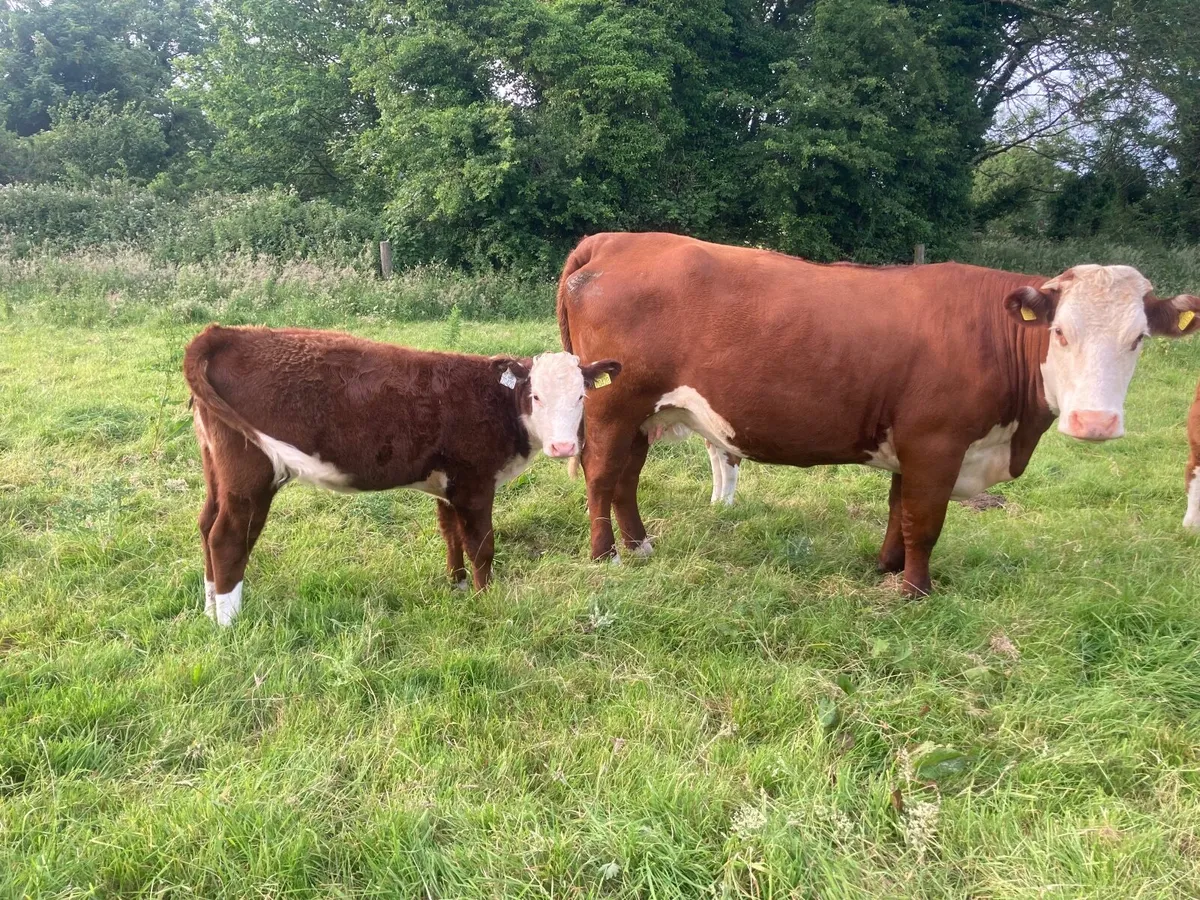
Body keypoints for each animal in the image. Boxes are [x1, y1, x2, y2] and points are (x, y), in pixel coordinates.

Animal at [184, 325, 620, 626]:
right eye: (536, 396)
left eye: (581, 396)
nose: (563, 447)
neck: (494, 402)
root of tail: (225, 333)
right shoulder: (475, 482)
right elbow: (481, 545)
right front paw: (486, 600)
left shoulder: (448, 484)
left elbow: (451, 534)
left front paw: (458, 586)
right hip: (250, 473)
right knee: (227, 536)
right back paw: (228, 622)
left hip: (216, 467)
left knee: (205, 525)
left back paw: (208, 609)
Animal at [556, 232, 1200, 596]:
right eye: (1060, 333)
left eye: (1138, 339)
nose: (1096, 423)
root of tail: (616, 239)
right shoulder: (937, 442)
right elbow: (925, 521)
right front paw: (915, 591)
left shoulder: (913, 445)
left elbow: (898, 512)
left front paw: (887, 568)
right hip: (614, 404)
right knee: (602, 475)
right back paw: (604, 555)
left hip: (643, 413)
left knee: (626, 479)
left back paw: (639, 545)